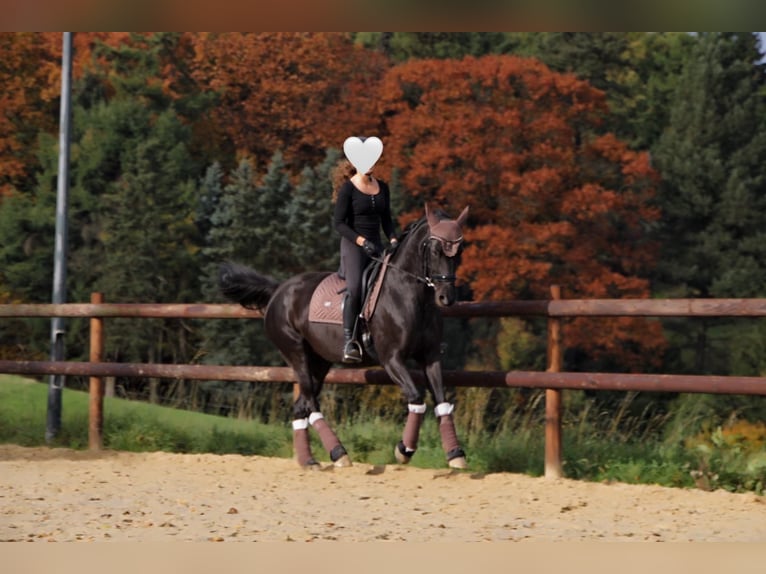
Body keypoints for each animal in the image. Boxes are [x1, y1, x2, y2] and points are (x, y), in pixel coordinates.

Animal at [219, 203, 470, 469]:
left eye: (459, 251)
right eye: (435, 250)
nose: (446, 298)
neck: (410, 295)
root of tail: (279, 291)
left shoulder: (430, 357)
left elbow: (442, 401)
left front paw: (455, 454)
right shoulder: (392, 359)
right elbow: (416, 398)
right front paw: (404, 449)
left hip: (319, 361)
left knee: (301, 406)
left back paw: (309, 460)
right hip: (296, 352)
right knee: (310, 402)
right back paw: (339, 453)